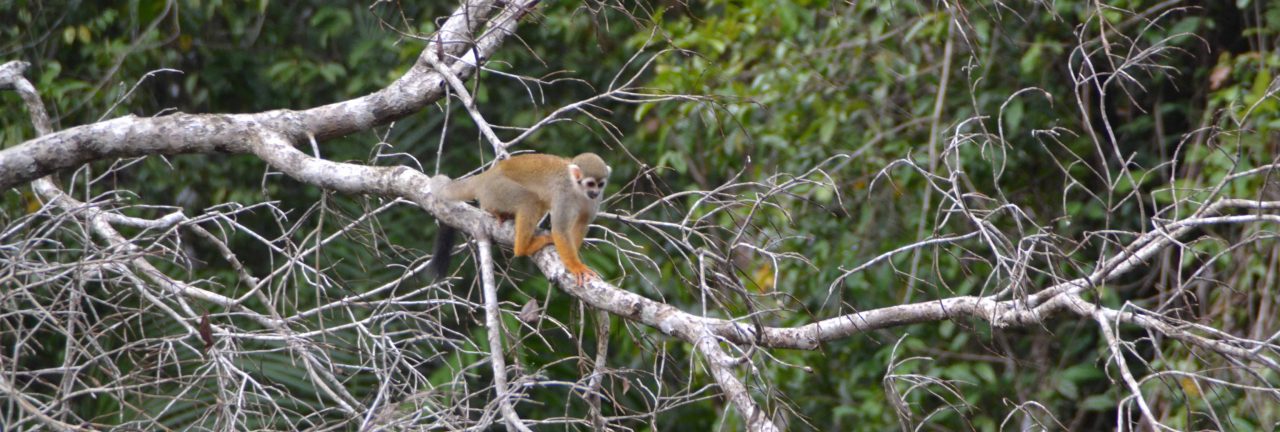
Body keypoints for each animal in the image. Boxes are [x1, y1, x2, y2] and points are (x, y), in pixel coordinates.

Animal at [428, 153, 611, 287]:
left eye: (600, 184)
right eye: (590, 183)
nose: (594, 192)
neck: (577, 189)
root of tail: (486, 175)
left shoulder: (594, 200)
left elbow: (582, 223)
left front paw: (574, 259)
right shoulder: (564, 194)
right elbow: (560, 229)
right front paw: (575, 266)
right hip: (498, 189)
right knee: (530, 201)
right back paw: (522, 248)